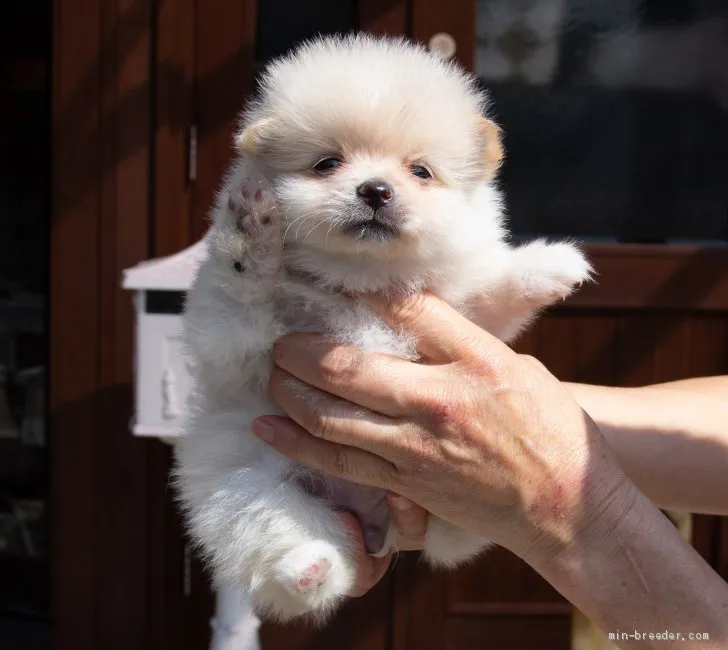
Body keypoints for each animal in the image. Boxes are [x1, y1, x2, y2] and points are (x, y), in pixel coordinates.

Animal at [176, 35, 592, 624]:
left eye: (420, 171)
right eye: (327, 163)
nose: (374, 189)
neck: (361, 281)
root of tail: (378, 522)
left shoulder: (460, 308)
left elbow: (489, 289)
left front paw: (549, 266)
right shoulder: (236, 345)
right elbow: (242, 294)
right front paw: (252, 234)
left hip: (456, 506)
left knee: (457, 534)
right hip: (247, 481)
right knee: (281, 536)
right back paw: (310, 566)